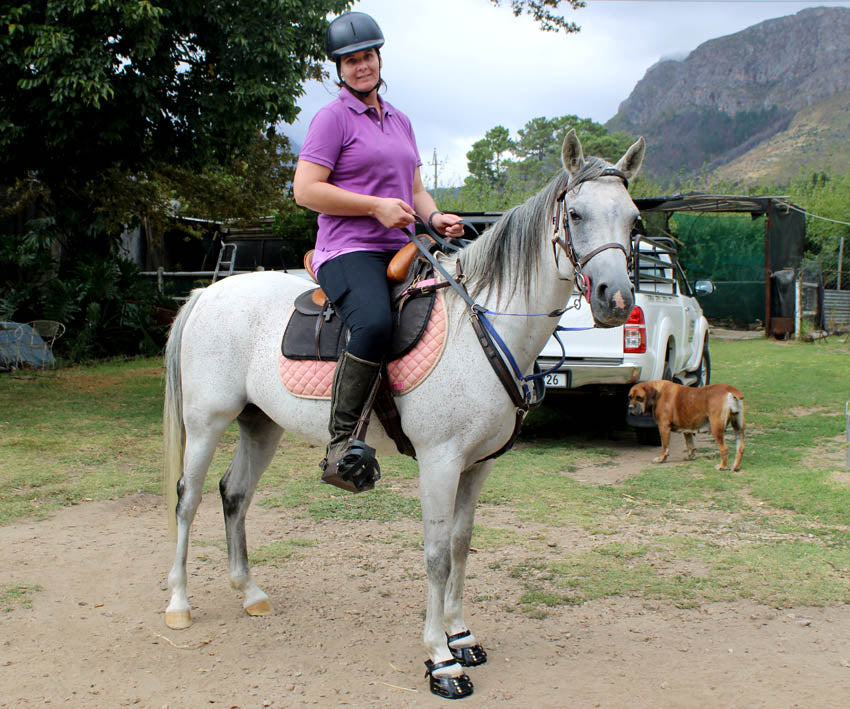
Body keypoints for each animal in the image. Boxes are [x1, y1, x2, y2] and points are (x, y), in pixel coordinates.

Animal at [161, 129, 644, 696]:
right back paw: (178, 602)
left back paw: (250, 591)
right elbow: (435, 554)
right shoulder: (440, 461)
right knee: (187, 499)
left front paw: (462, 636)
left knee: (234, 493)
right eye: (576, 215)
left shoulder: (478, 465)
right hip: (205, 424)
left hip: (260, 425)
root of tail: (206, 292)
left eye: (634, 219)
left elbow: (460, 545)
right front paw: (440, 659)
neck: (480, 323)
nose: (616, 299)